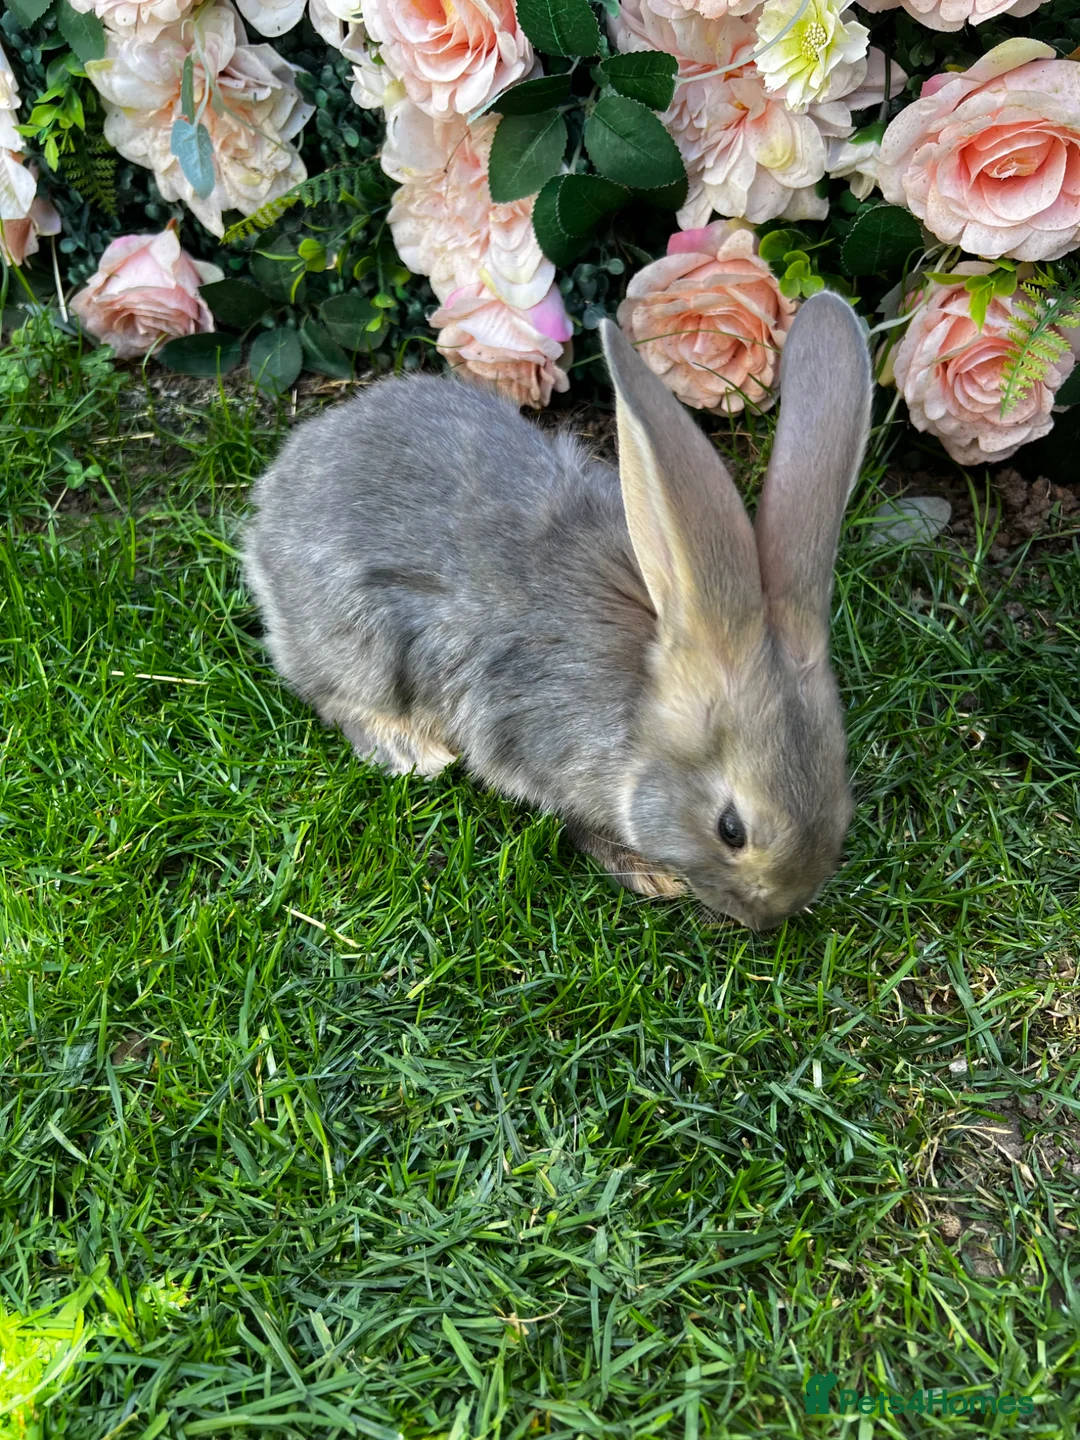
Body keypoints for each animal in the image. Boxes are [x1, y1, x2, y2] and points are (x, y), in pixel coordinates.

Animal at [242, 289, 872, 931]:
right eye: (731, 829)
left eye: (842, 797)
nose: (772, 916)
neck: (635, 718)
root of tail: (273, 499)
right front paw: (650, 876)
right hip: (358, 642)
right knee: (329, 692)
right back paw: (414, 751)